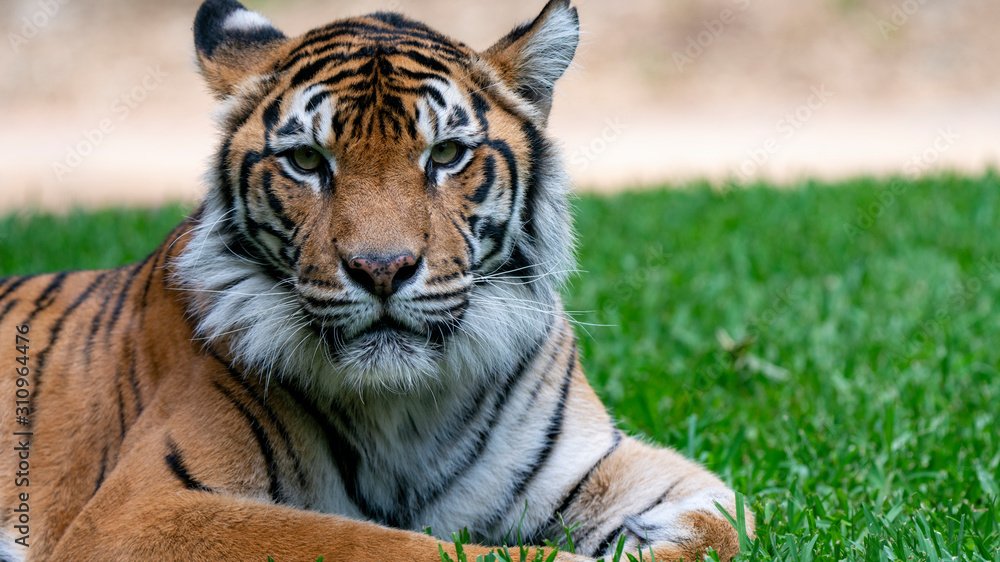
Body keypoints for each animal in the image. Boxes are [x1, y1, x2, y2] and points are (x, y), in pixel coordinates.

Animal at [0, 1, 753, 560]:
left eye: (445, 154)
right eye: (307, 160)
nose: (381, 269)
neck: (407, 407)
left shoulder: (598, 463)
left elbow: (729, 518)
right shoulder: (143, 508)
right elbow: (380, 543)